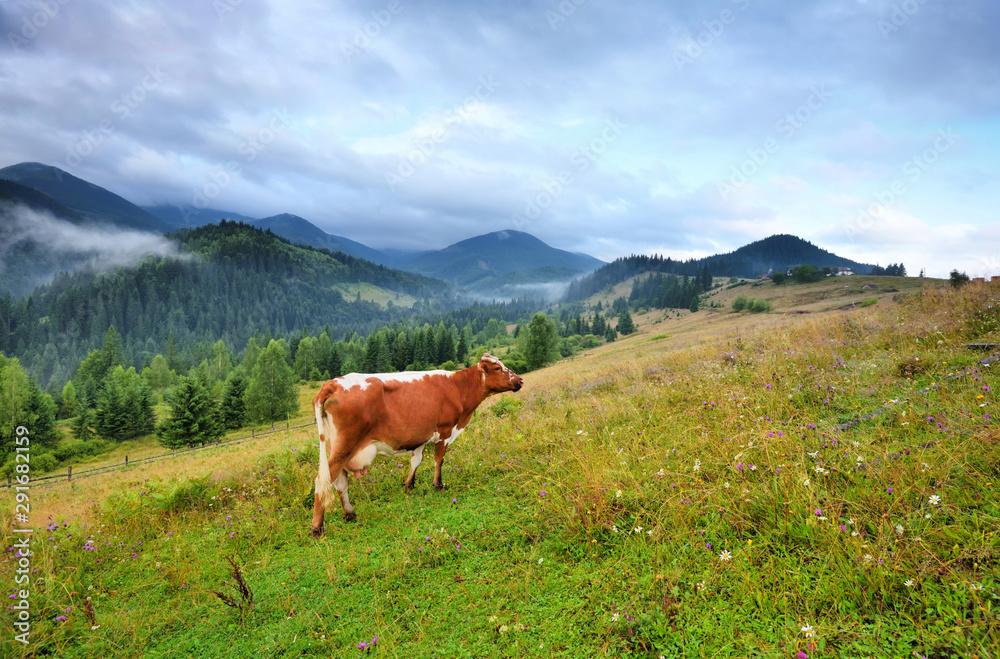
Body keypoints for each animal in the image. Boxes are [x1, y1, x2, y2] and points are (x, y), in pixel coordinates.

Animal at [310, 354, 524, 532]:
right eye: (497, 368)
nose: (520, 380)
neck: (457, 386)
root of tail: (333, 383)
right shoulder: (445, 431)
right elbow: (438, 460)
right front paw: (438, 484)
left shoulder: (421, 435)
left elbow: (416, 461)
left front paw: (409, 486)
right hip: (345, 446)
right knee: (323, 480)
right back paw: (317, 527)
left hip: (336, 446)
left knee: (340, 481)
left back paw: (350, 514)